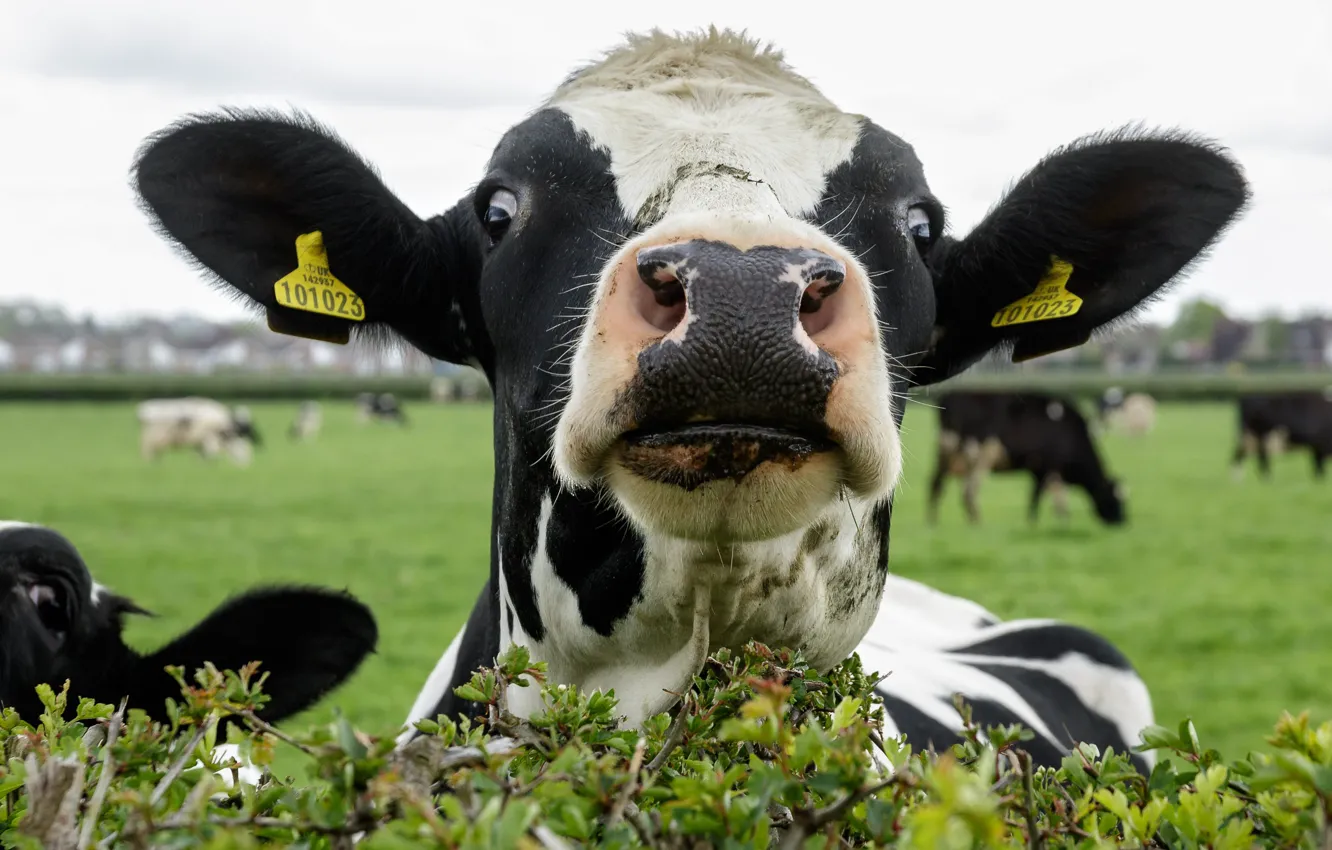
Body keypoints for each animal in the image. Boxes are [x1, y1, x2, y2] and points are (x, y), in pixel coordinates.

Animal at [927, 391, 1127, 526]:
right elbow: (1049, 495)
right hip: (980, 453)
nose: (1123, 521)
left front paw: (1046, 521)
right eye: (1115, 499)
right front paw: (1050, 521)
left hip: (946, 452)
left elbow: (1043, 495)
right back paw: (978, 523)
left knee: (936, 484)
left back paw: (933, 522)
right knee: (969, 491)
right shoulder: (1051, 466)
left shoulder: (1039, 469)